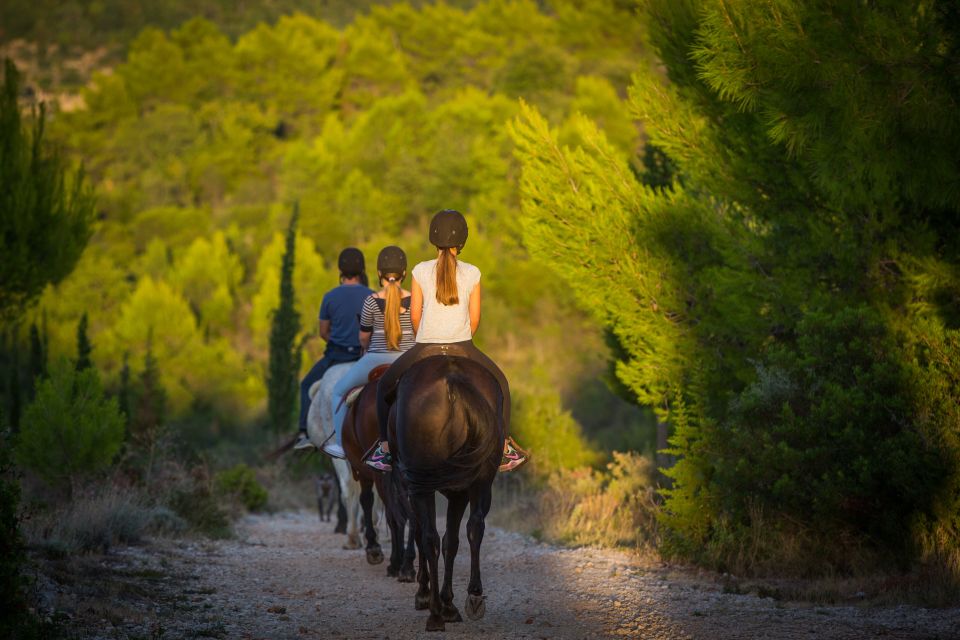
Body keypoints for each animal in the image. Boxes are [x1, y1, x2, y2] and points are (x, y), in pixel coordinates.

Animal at [344, 364, 420, 580]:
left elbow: (368, 502)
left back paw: (399, 564)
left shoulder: (366, 473)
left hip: (380, 475)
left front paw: (375, 550)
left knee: (394, 514)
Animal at [390, 358, 502, 632]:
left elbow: (422, 534)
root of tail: (454, 379)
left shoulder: (412, 487)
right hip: (480, 479)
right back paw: (473, 597)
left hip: (421, 485)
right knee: (474, 527)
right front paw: (449, 603)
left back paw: (434, 613)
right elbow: (451, 542)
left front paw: (427, 596)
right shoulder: (458, 493)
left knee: (428, 537)